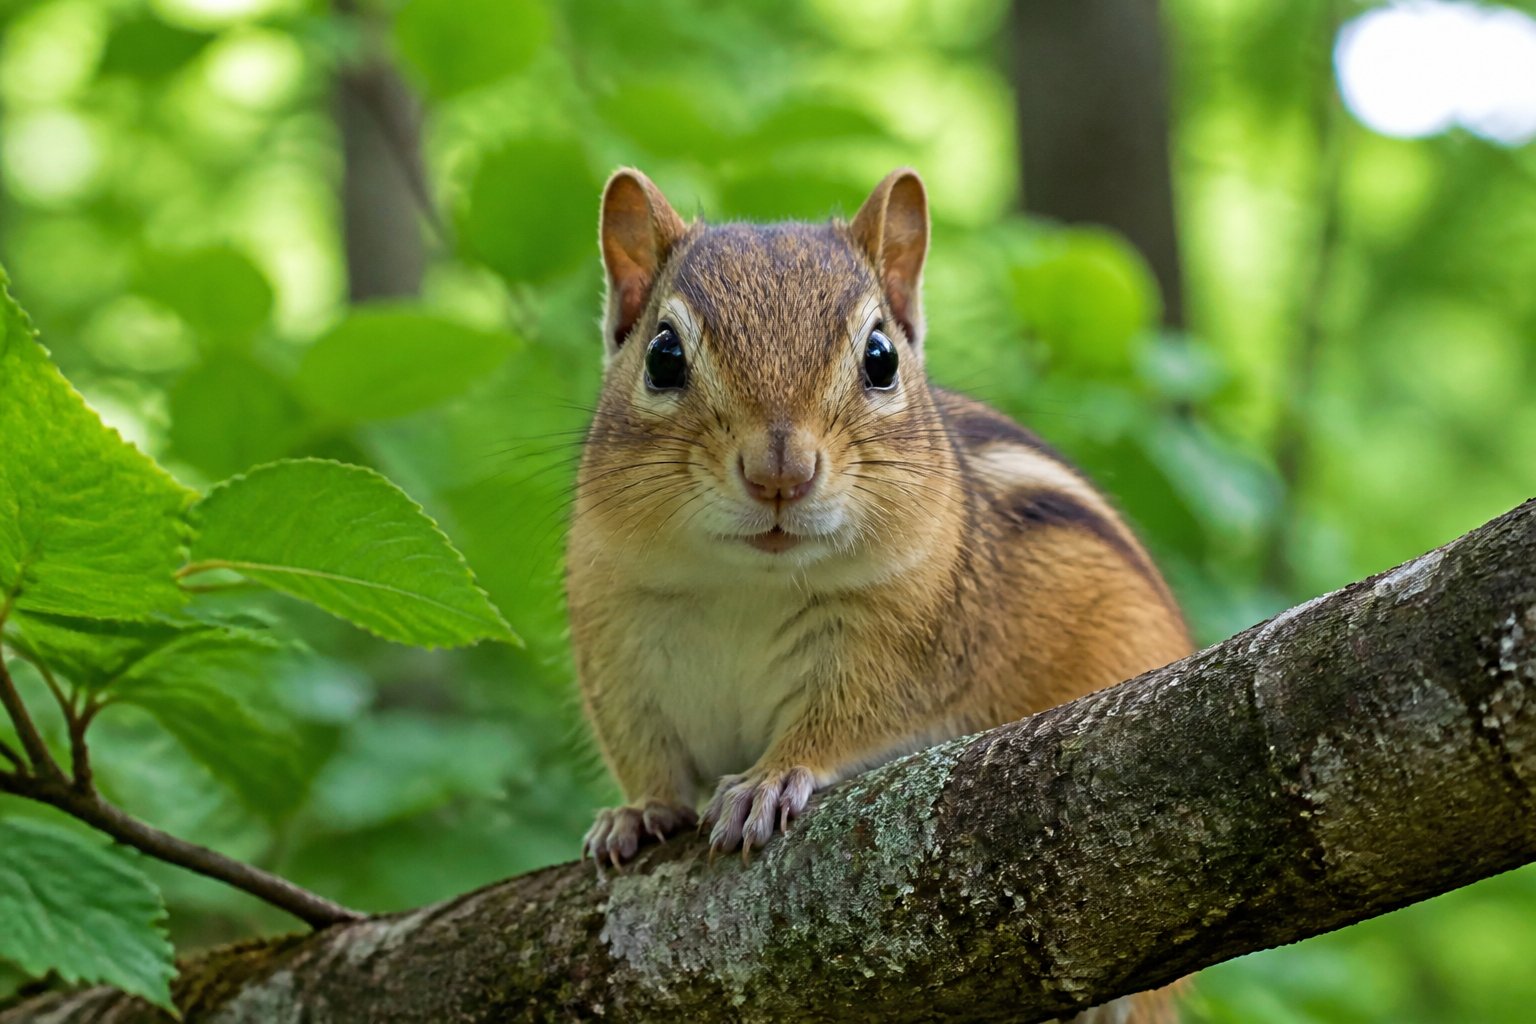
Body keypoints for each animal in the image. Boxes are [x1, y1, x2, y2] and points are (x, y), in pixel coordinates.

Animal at [568, 167, 1191, 1020]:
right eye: (663, 356)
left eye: (880, 357)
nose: (780, 472)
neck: (744, 588)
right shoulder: (620, 656)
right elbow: (647, 754)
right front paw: (636, 811)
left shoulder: (904, 645)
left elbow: (846, 718)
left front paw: (770, 779)